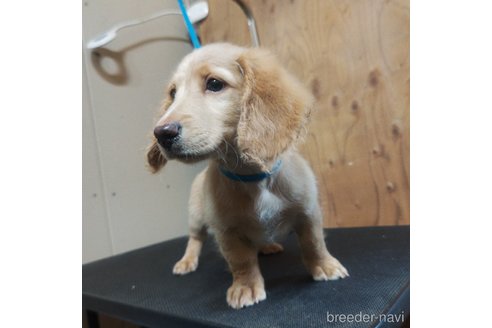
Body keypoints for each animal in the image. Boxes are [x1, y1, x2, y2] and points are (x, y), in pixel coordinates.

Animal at [145, 42, 346, 308]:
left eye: (214, 83)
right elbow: (241, 261)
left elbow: (314, 243)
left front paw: (325, 266)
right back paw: (187, 261)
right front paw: (246, 287)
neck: (252, 178)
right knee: (195, 239)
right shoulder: (227, 231)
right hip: (196, 217)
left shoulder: (308, 211)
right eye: (173, 93)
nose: (162, 133)